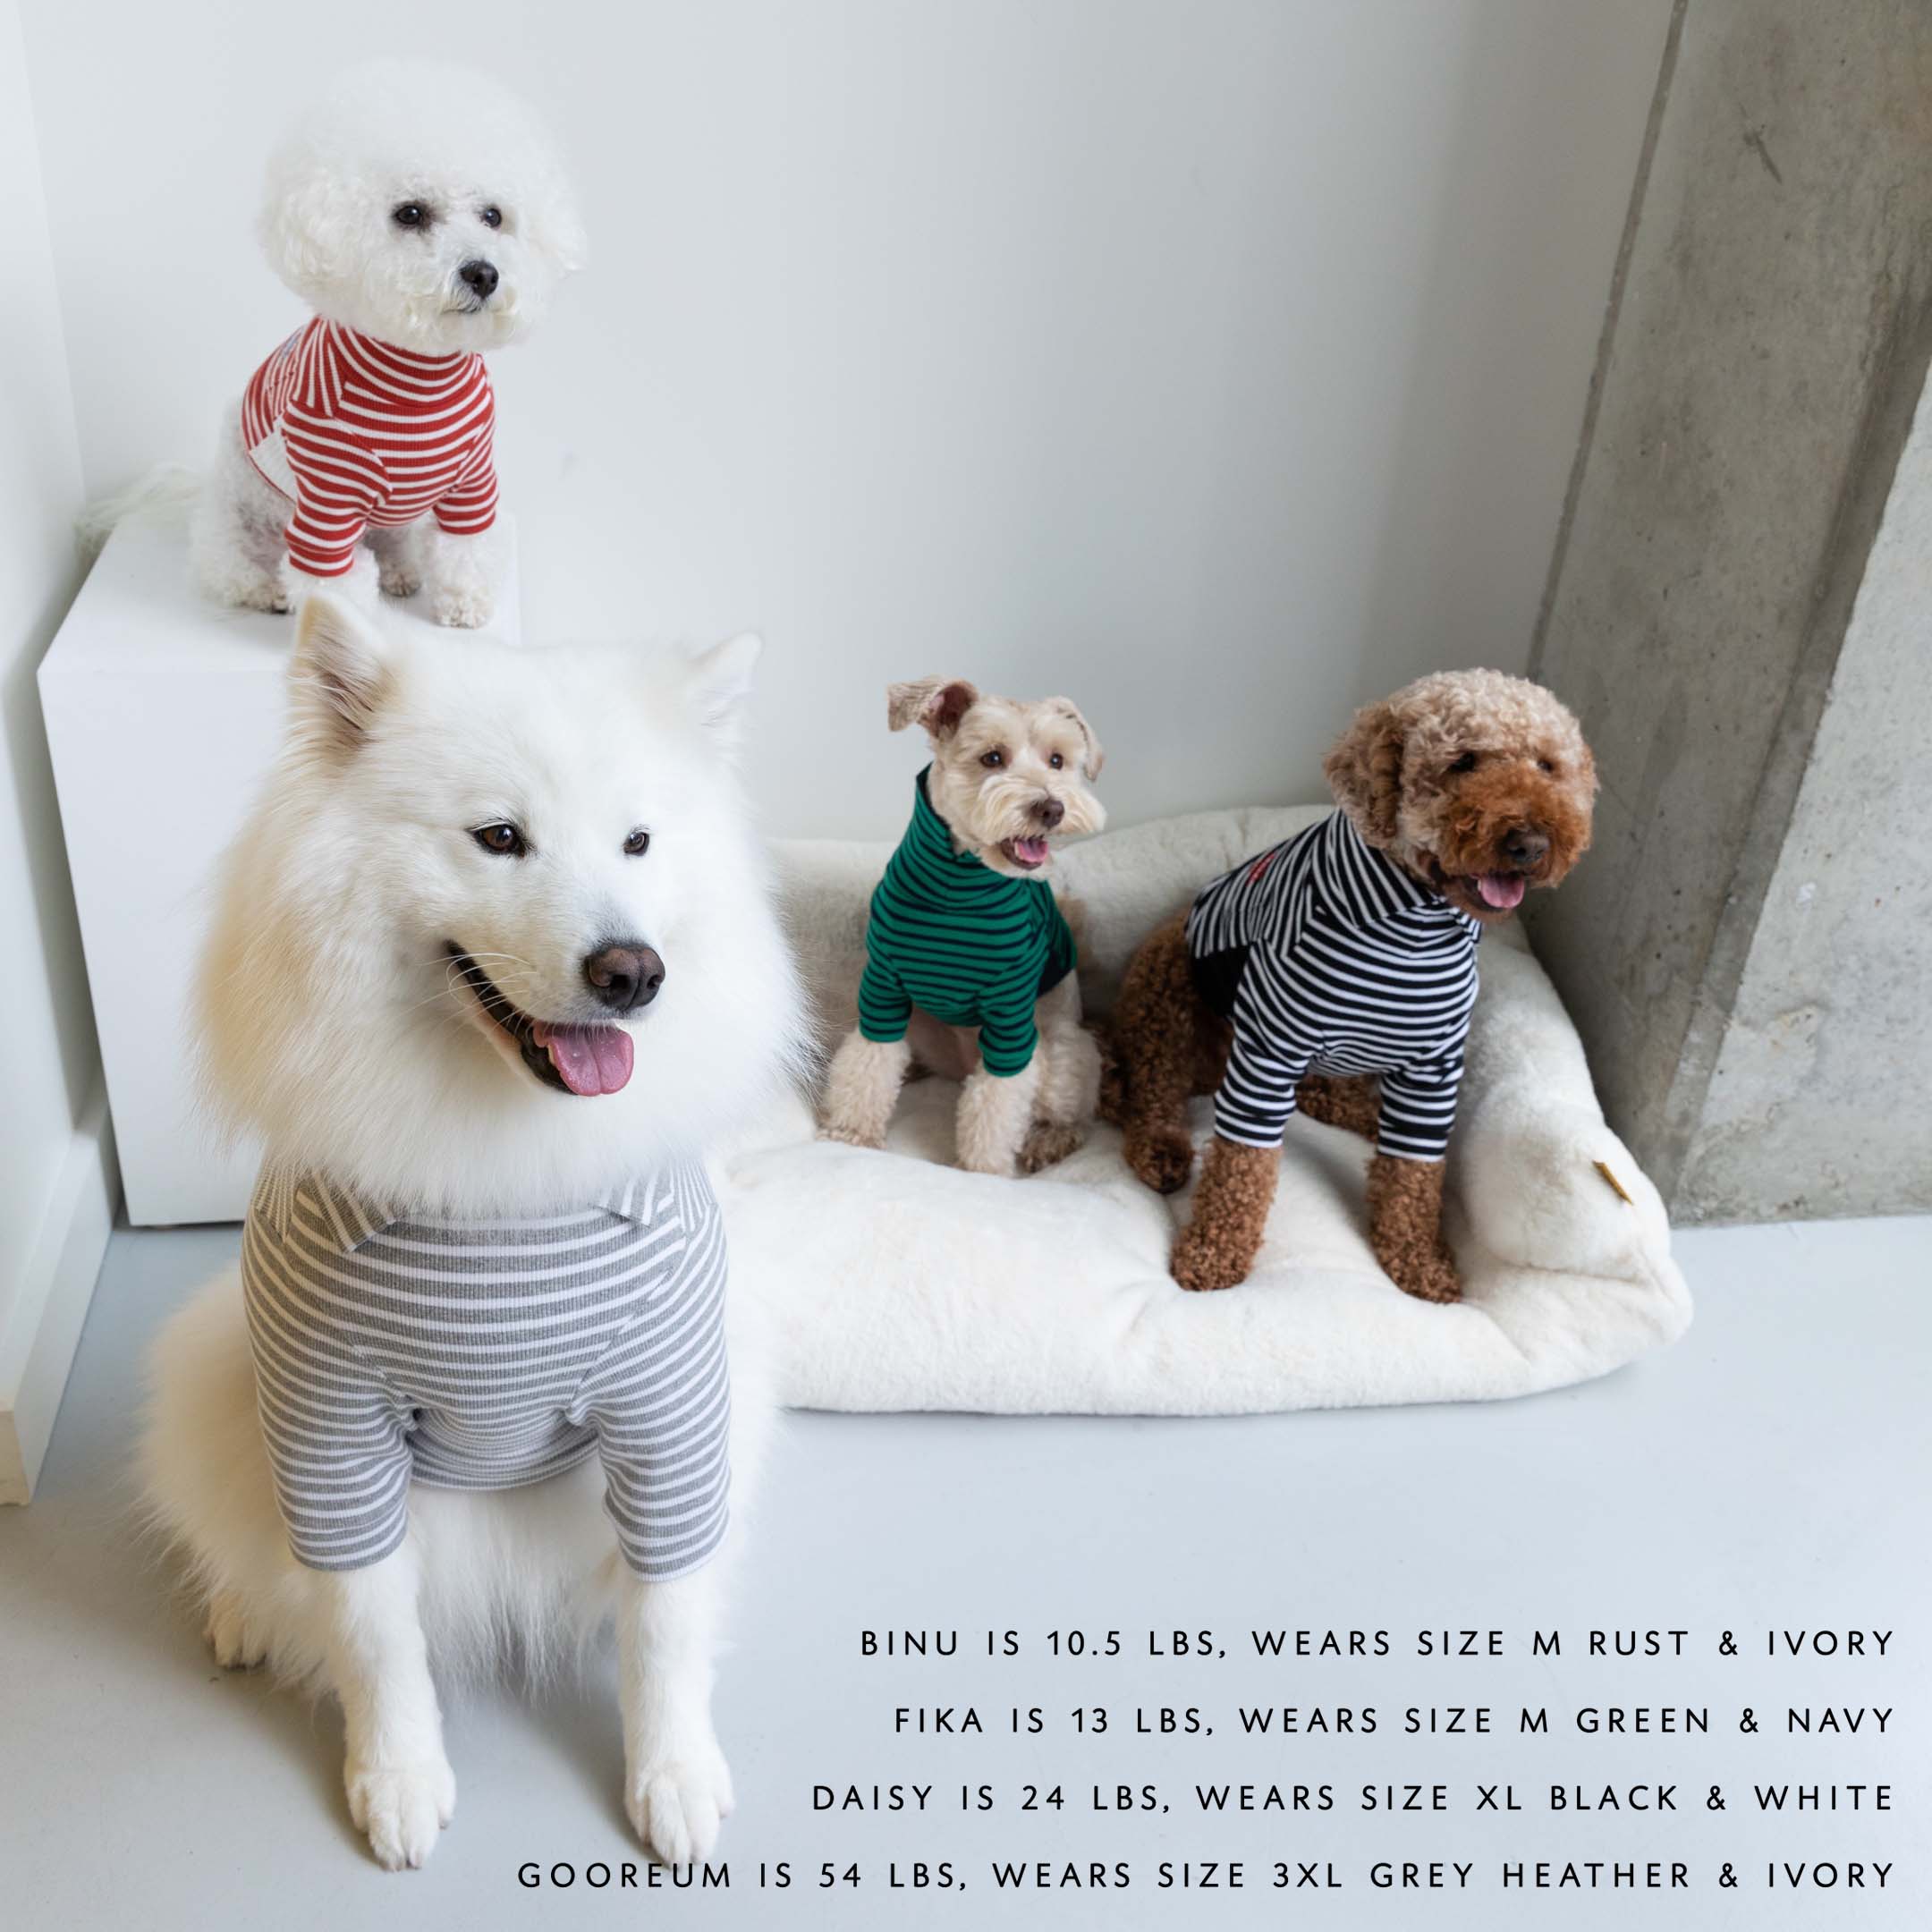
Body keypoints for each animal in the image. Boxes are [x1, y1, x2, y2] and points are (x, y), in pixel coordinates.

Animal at [138, 590, 800, 1869]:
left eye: (639, 844)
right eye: (499, 838)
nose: (631, 971)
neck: (504, 1194)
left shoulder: (669, 1413)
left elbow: (665, 1625)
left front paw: (674, 1776)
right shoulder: (334, 1428)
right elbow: (373, 1632)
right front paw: (396, 1780)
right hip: (216, 1371)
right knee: (240, 1537)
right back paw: (240, 1613)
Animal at [189, 62, 583, 625]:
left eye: (493, 216)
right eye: (411, 214)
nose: (483, 273)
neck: (418, 375)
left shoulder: (472, 483)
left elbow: (465, 550)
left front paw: (464, 604)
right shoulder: (328, 500)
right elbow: (333, 585)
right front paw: (343, 636)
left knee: (394, 545)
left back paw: (400, 572)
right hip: (236, 516)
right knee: (231, 563)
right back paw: (266, 590)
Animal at [823, 680, 1113, 1174]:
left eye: (1057, 760)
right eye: (992, 757)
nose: (1052, 808)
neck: (956, 892)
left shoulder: (1010, 1013)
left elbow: (997, 1101)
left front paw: (983, 1171)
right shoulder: (884, 988)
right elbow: (870, 1061)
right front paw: (851, 1133)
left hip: (1062, 1052)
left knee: (1069, 1109)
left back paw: (1049, 1140)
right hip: (922, 1024)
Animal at [1105, 672, 1599, 1306]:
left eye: (1547, 766)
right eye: (1463, 762)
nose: (1531, 844)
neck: (1414, 928)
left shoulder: (1434, 1067)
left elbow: (1415, 1171)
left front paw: (1418, 1259)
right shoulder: (1267, 1050)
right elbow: (1242, 1163)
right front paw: (1214, 1254)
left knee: (1321, 1094)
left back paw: (1368, 1114)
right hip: (1167, 986)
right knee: (1151, 1092)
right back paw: (1160, 1148)